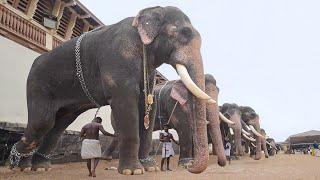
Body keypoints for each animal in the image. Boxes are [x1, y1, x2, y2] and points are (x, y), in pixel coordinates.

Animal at [10, 5, 215, 174]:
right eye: (185, 33)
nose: (190, 168)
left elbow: (147, 105)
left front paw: (150, 167)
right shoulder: (117, 60)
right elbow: (126, 102)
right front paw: (133, 171)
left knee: (58, 125)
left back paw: (37, 167)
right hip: (38, 84)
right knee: (43, 122)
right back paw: (16, 163)